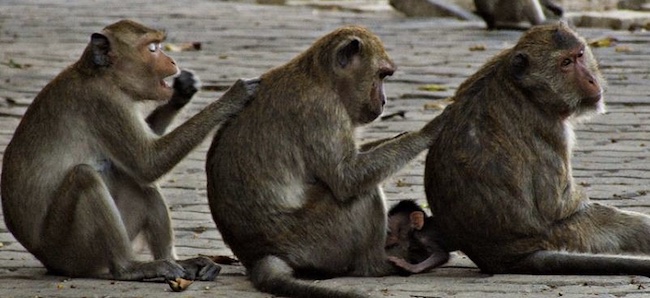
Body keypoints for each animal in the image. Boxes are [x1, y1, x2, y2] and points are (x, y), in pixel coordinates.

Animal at [0, 20, 258, 282]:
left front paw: (182, 93)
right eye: (152, 48)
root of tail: (46, 261)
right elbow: (148, 163)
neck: (102, 75)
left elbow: (142, 163)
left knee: (136, 182)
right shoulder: (106, 103)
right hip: (69, 249)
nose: (172, 61)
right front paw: (232, 97)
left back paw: (177, 262)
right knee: (85, 176)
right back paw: (129, 268)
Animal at [205, 25, 442, 298]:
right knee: (364, 193)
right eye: (382, 75)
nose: (384, 101)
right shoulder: (324, 111)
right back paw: (377, 265)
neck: (320, 77)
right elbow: (346, 179)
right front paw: (427, 132)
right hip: (317, 241)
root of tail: (261, 256)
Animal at [418, 22, 650, 278]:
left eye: (579, 55)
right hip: (566, 234)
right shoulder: (551, 128)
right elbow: (555, 205)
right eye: (565, 63)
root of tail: (501, 259)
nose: (591, 80)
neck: (528, 90)